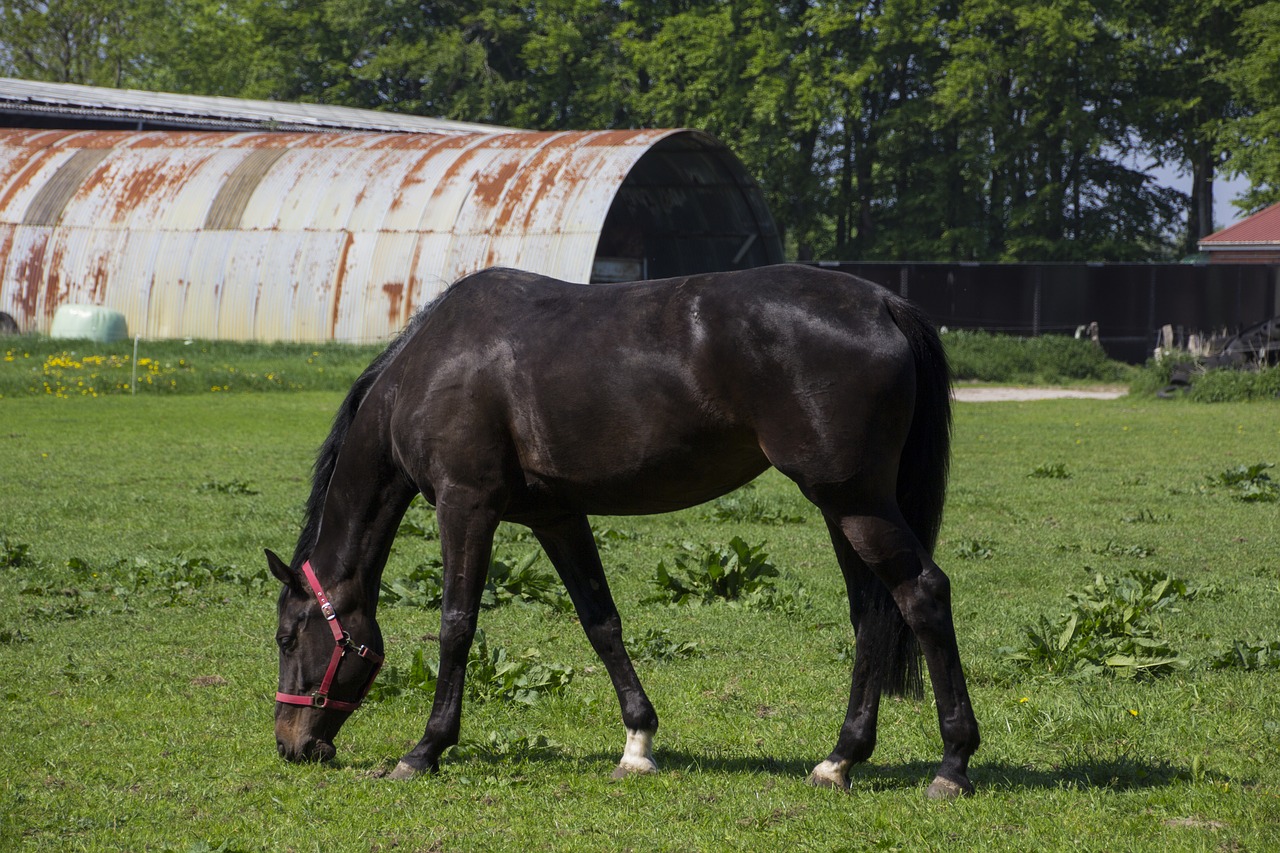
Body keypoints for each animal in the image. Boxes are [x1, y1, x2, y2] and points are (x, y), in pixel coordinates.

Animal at [264, 262, 972, 794]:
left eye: (287, 637)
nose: (292, 745)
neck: (430, 367)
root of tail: (882, 303)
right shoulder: (556, 516)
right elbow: (600, 621)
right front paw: (638, 743)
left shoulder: (465, 507)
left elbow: (456, 626)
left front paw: (425, 750)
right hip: (845, 507)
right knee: (873, 615)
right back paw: (840, 760)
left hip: (853, 502)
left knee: (923, 595)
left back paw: (952, 766)